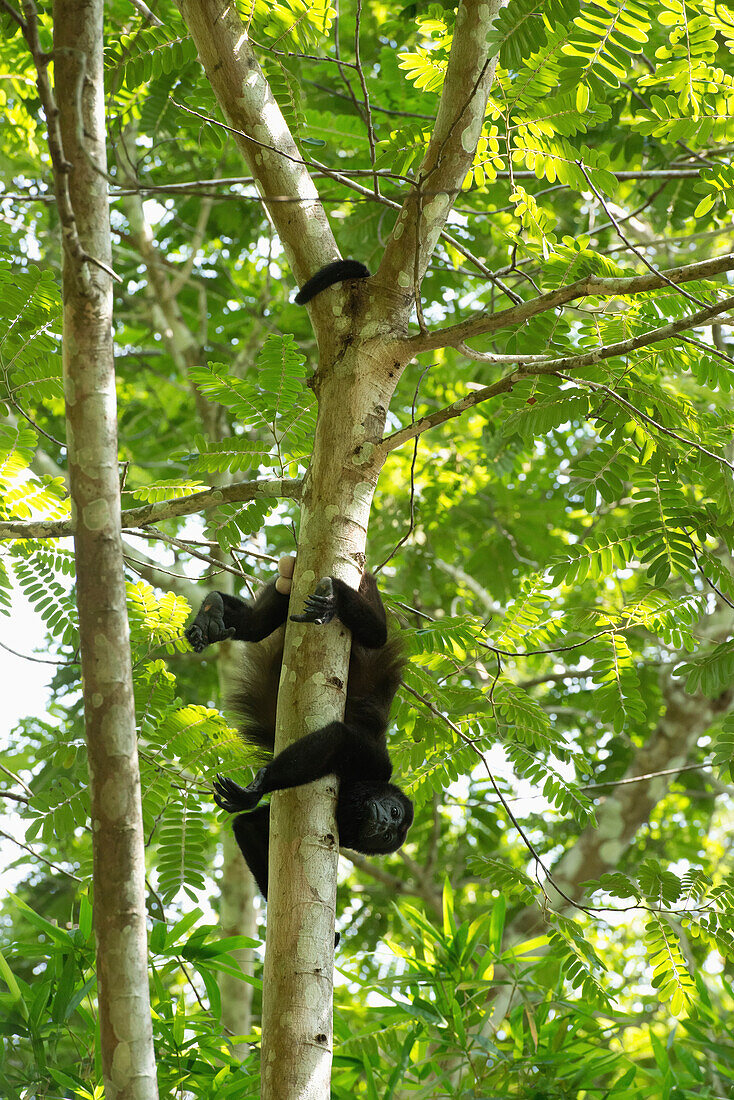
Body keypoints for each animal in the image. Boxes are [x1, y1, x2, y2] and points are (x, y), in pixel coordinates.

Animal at [183, 563, 413, 906]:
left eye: (387, 836)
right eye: (394, 813)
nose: (384, 821)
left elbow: (247, 825)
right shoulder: (372, 759)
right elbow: (338, 737)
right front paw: (257, 788)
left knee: (256, 625)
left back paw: (213, 612)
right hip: (364, 591)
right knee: (376, 634)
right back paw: (330, 599)